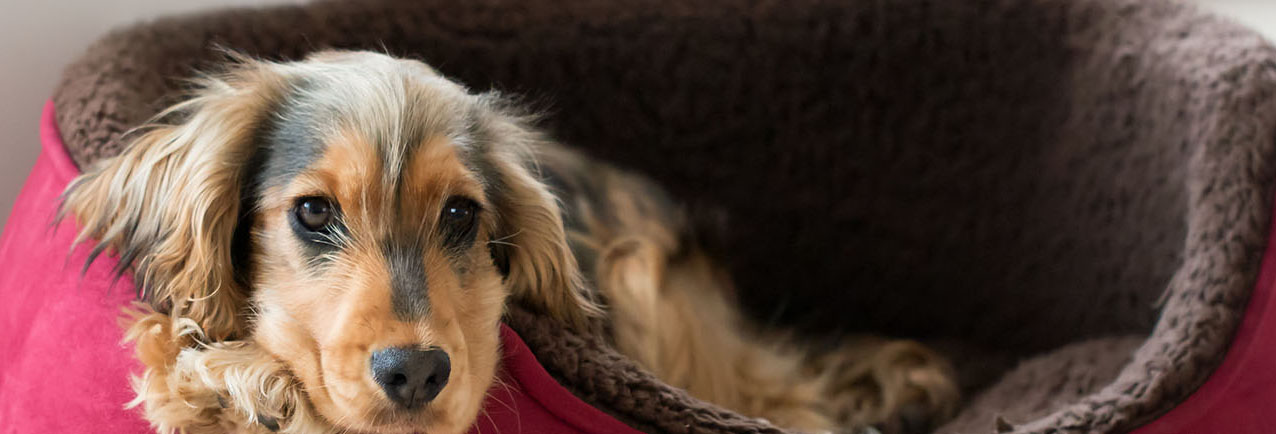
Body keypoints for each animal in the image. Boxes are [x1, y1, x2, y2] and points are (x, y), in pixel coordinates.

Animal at [59, 51, 959, 433]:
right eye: (313, 213)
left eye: (461, 217)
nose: (416, 374)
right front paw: (215, 376)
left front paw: (236, 381)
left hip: (649, 283)